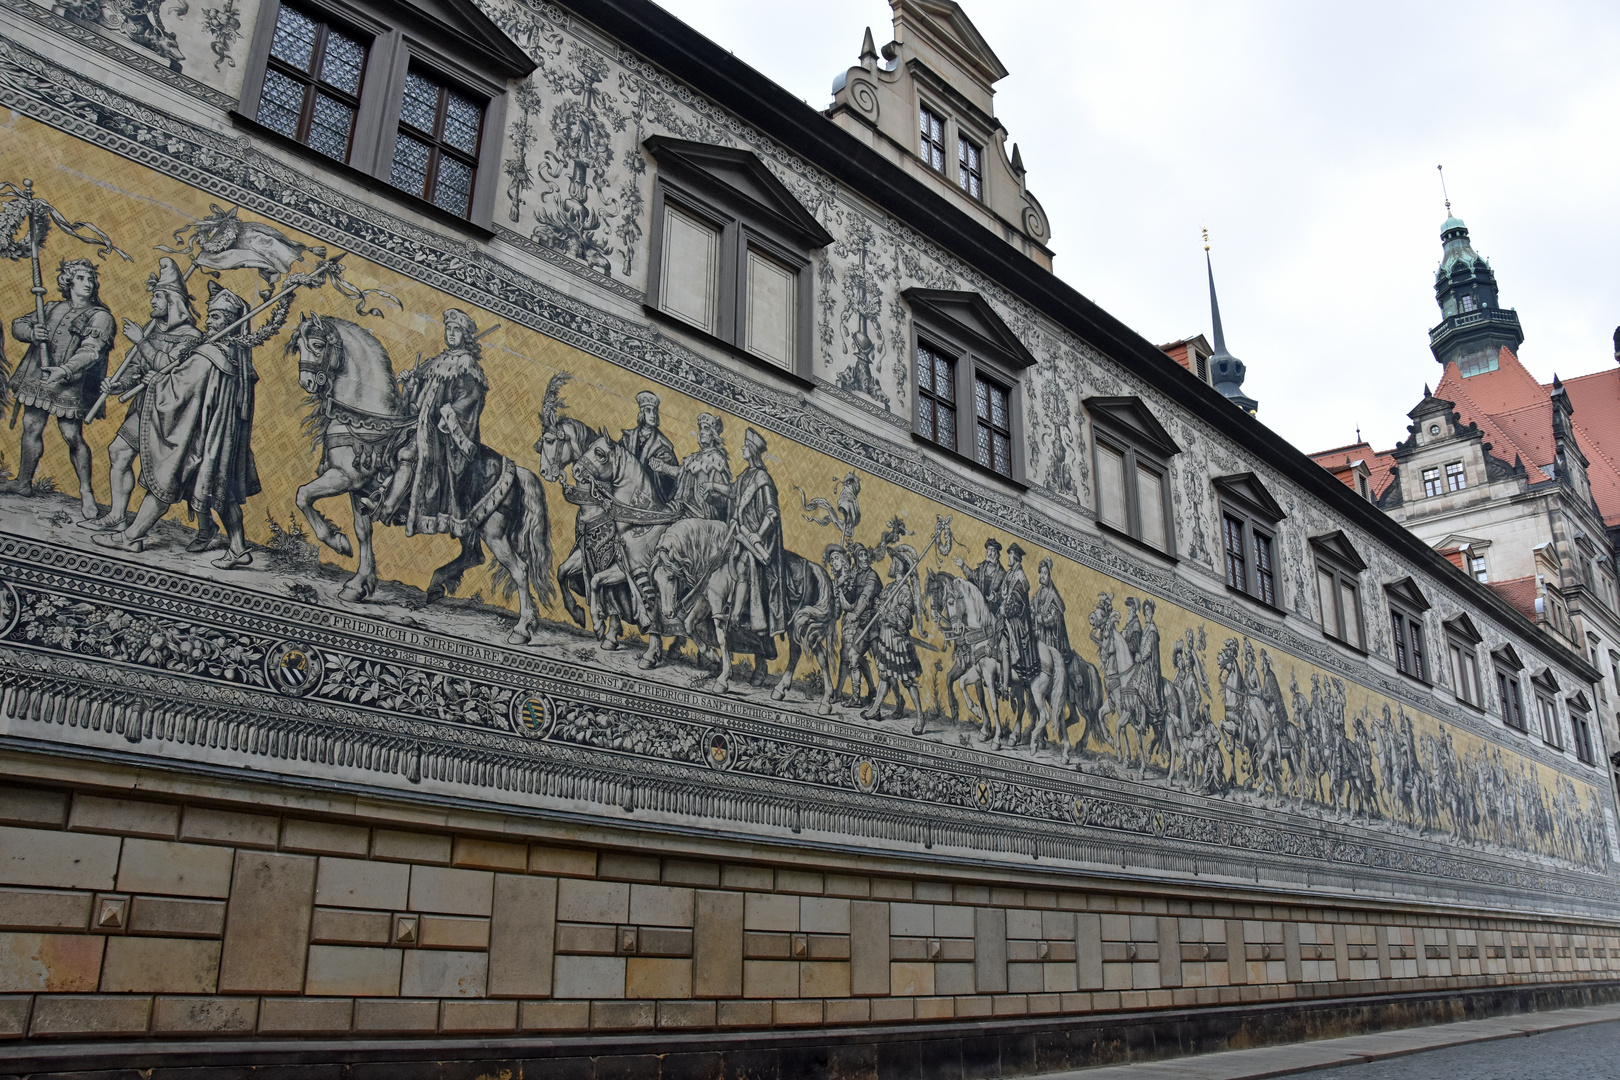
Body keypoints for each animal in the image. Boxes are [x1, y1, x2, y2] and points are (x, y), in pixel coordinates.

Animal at [294, 314, 560, 641]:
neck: (368, 422)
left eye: (318, 344)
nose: (306, 382)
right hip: (470, 522)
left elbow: (303, 495)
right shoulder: (359, 490)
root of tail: (516, 469)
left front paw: (336, 541)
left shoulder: (344, 477)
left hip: (494, 530)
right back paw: (435, 585)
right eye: (298, 345)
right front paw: (358, 584)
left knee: (519, 569)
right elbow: (362, 532)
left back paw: (522, 628)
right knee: (474, 556)